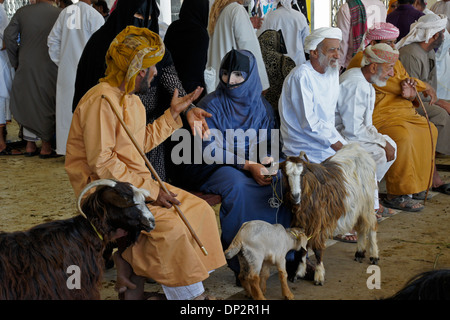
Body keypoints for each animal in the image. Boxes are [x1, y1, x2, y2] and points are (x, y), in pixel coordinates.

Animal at [282, 142, 380, 284]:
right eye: (285, 174)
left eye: (302, 173)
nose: (295, 196)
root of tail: (357, 147)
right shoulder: (303, 222)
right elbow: (302, 249)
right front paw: (298, 273)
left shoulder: (319, 222)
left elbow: (317, 250)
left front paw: (319, 275)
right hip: (357, 205)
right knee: (361, 227)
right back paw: (360, 253)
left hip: (367, 201)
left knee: (371, 226)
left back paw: (374, 256)